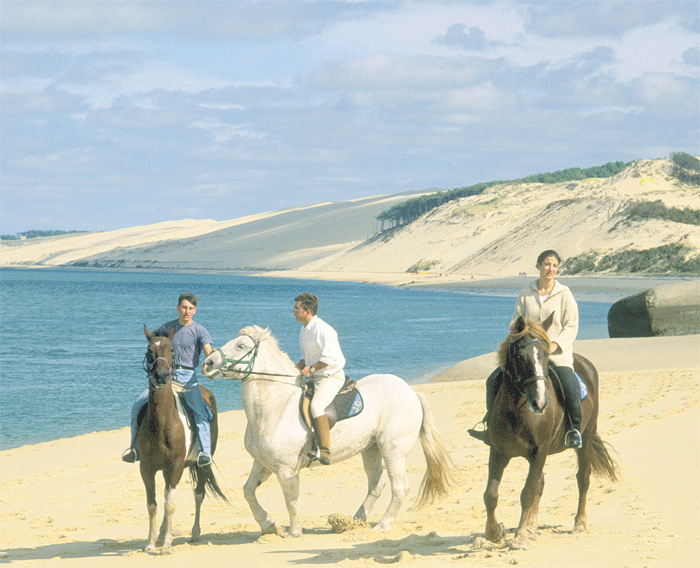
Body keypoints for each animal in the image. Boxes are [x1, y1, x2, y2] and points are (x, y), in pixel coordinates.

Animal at [135, 326, 226, 552]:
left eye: (171, 350)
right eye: (149, 350)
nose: (161, 375)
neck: (162, 422)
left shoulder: (176, 466)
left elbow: (170, 505)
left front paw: (167, 545)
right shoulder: (147, 468)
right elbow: (153, 505)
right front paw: (151, 543)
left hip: (201, 465)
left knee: (198, 494)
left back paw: (194, 533)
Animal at [202, 324, 454, 536]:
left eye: (241, 346)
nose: (207, 364)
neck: (276, 405)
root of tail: (411, 392)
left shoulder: (285, 468)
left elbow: (292, 501)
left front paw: (294, 533)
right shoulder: (263, 463)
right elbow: (248, 491)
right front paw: (268, 525)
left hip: (393, 450)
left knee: (400, 487)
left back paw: (382, 525)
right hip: (370, 449)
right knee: (377, 484)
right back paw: (354, 522)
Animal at [482, 316, 616, 552]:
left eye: (545, 355)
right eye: (520, 356)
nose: (540, 403)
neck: (518, 411)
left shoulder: (539, 452)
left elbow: (527, 493)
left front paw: (519, 538)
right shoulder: (498, 452)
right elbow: (491, 494)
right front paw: (494, 533)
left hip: (586, 439)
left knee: (583, 478)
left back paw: (579, 524)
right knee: (540, 484)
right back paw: (532, 525)